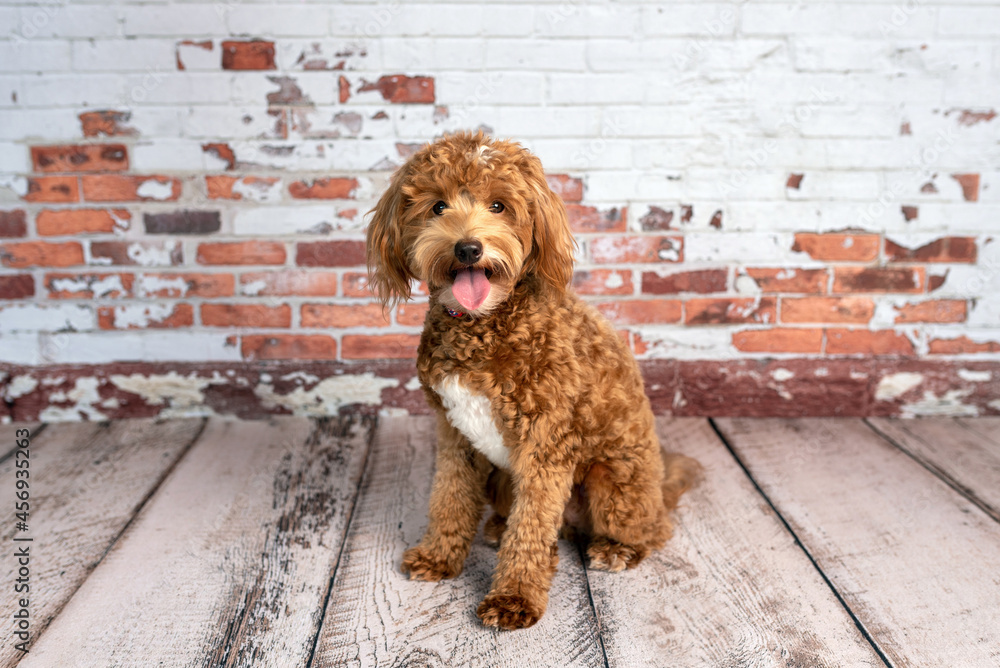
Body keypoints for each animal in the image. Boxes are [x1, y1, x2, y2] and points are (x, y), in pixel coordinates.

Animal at [364, 132, 700, 632]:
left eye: (499, 205)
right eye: (438, 206)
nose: (468, 249)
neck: (484, 326)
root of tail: (661, 488)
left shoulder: (546, 445)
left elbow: (532, 528)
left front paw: (514, 597)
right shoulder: (454, 433)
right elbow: (449, 496)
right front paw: (439, 556)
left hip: (613, 484)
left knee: (651, 529)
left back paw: (617, 549)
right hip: (502, 477)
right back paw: (497, 527)